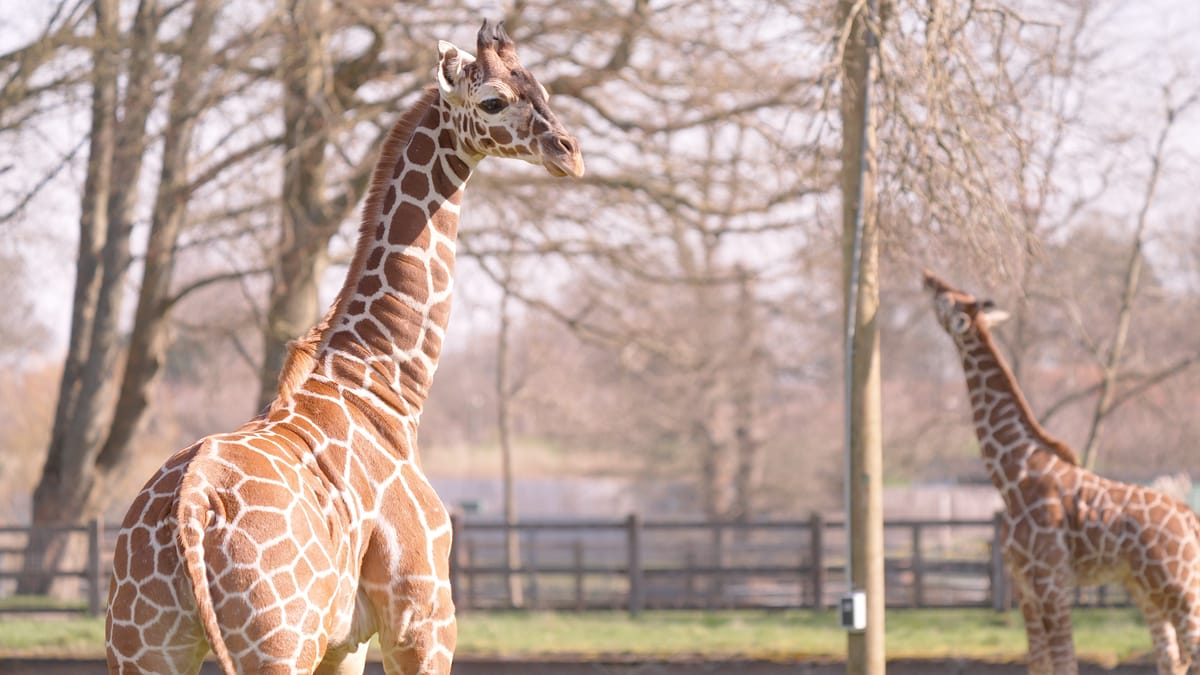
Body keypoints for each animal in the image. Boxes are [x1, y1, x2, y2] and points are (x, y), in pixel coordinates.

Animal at [105, 20, 583, 675]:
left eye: (542, 89)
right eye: (493, 101)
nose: (569, 152)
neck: (384, 386)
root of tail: (189, 512)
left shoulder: (343, 642)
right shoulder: (420, 620)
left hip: (145, 645)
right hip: (277, 645)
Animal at [923, 270, 1200, 675]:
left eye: (946, 299)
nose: (927, 277)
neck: (1011, 475)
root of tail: (1190, 517)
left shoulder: (1051, 582)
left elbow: (1066, 663)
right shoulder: (1024, 585)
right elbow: (1038, 664)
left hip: (1179, 585)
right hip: (1146, 589)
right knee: (1172, 658)